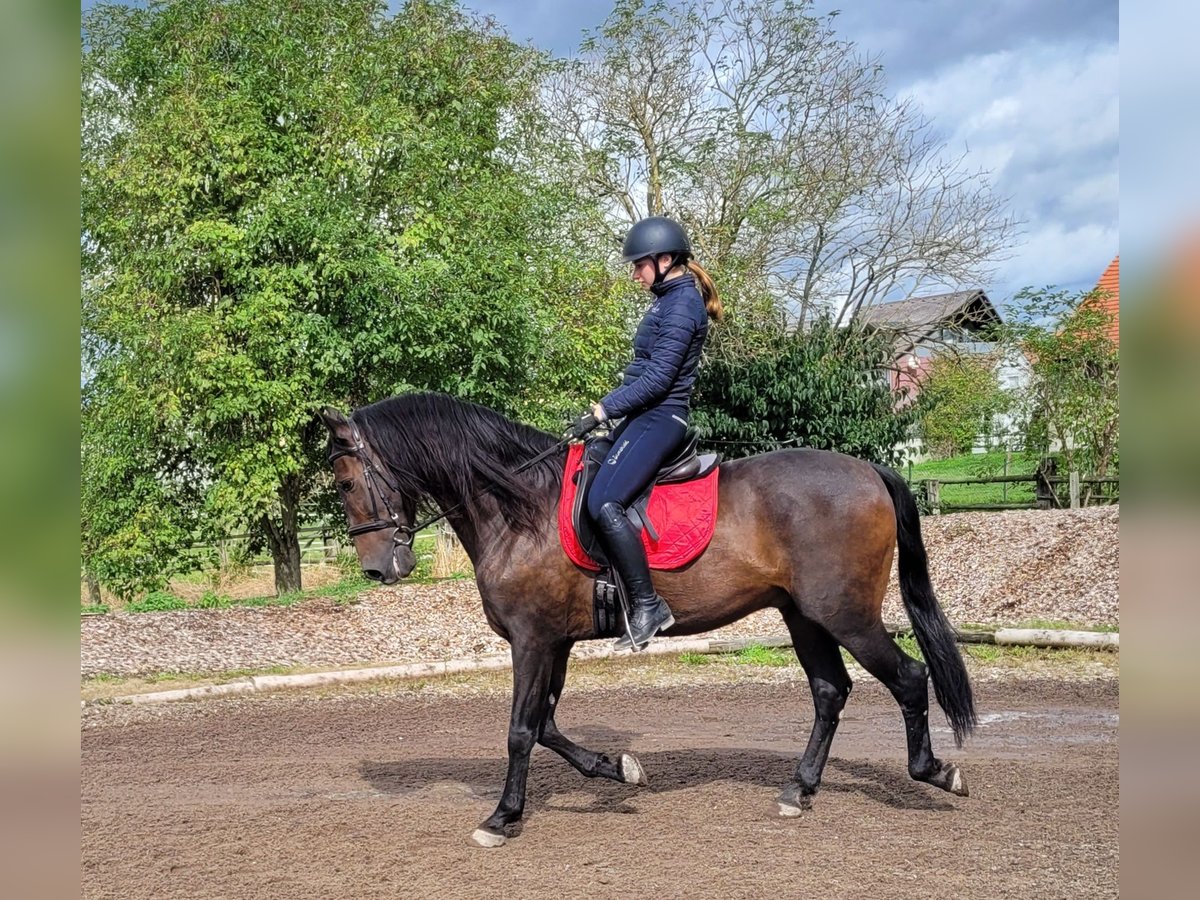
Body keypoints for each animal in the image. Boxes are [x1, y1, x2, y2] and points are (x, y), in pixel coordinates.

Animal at [319, 391, 974, 849]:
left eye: (346, 481)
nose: (378, 569)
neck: (520, 509)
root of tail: (868, 472)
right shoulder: (555, 641)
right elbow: (548, 724)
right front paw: (617, 769)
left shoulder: (531, 640)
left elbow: (522, 729)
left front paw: (502, 818)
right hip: (804, 616)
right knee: (829, 691)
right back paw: (799, 789)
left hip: (846, 615)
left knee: (908, 679)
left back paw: (936, 773)